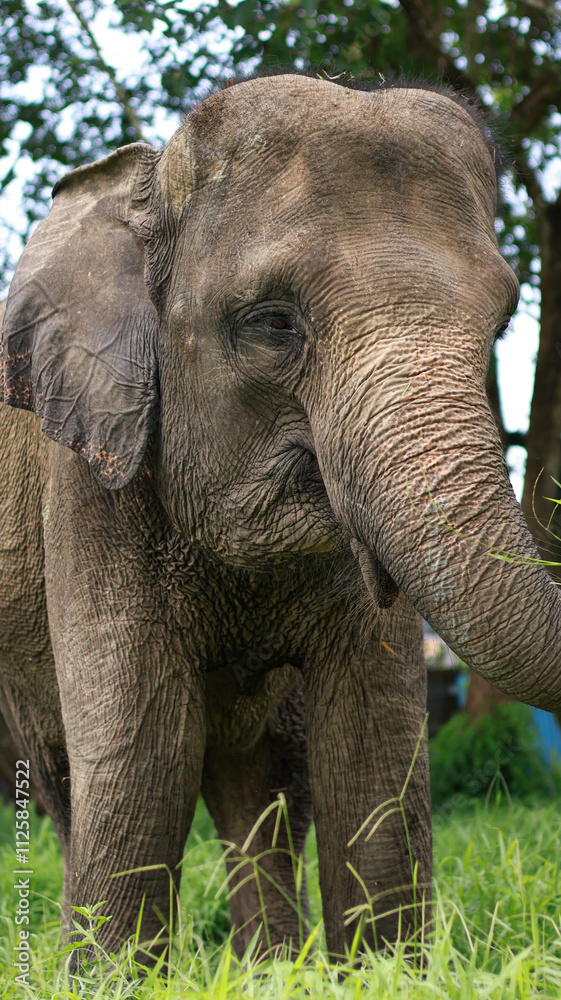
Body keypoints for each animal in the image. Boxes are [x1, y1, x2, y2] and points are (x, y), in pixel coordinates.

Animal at [1, 72, 557, 967]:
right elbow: (140, 747)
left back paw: (266, 965)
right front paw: (106, 979)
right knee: (64, 783)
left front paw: (380, 972)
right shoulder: (92, 478)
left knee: (261, 784)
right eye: (271, 323)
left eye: (504, 323)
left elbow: (371, 743)